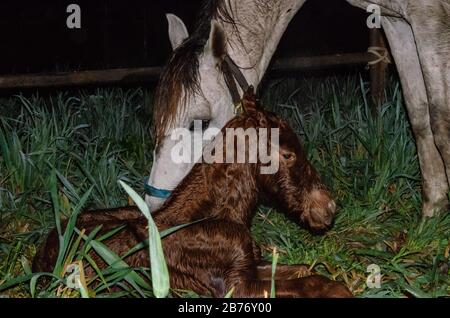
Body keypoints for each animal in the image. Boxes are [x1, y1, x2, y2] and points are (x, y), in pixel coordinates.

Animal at [33, 88, 354, 296]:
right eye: (287, 154)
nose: (328, 208)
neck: (219, 216)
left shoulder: (253, 267)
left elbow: (305, 269)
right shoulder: (235, 287)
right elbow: (311, 281)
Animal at [146, 0, 448, 217]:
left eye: (201, 121)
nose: (153, 206)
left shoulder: (429, 17)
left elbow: (441, 123)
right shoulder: (398, 22)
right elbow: (419, 114)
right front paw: (433, 209)